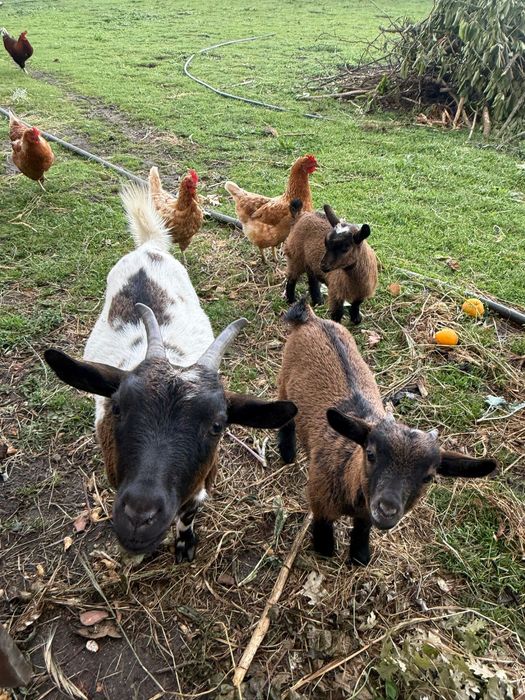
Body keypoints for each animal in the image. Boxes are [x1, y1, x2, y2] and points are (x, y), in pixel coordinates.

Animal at [45, 184, 297, 561]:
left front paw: (184, 545)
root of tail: (149, 249)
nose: (139, 516)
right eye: (117, 408)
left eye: (218, 425)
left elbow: (189, 514)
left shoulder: (200, 484)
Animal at [277, 300, 497, 566]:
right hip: (284, 380)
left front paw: (360, 556)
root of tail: (312, 319)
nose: (387, 510)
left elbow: (362, 529)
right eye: (370, 455)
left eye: (429, 477)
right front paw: (324, 550)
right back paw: (287, 453)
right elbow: (323, 529)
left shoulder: (364, 514)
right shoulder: (319, 501)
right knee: (286, 416)